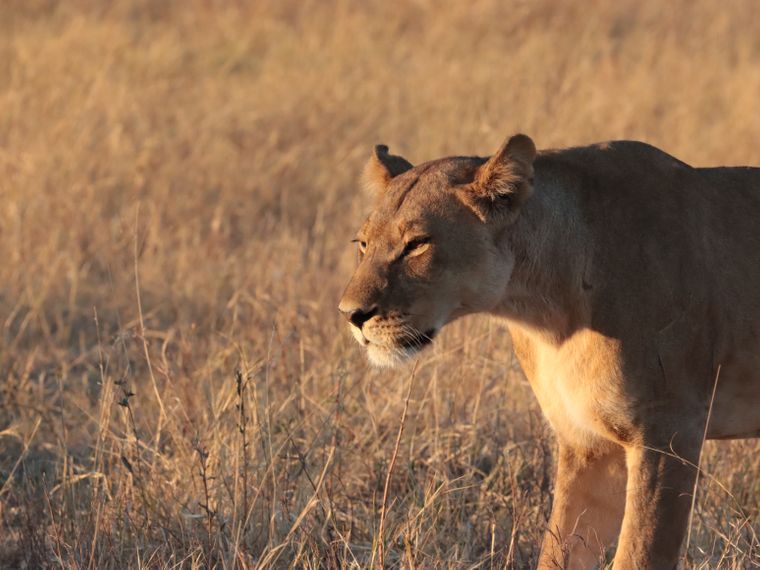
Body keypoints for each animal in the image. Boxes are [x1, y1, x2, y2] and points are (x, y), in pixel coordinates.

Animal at [338, 134, 760, 569]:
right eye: (363, 244)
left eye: (417, 244)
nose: (350, 314)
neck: (547, 314)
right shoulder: (587, 444)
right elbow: (559, 550)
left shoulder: (669, 433)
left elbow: (638, 555)